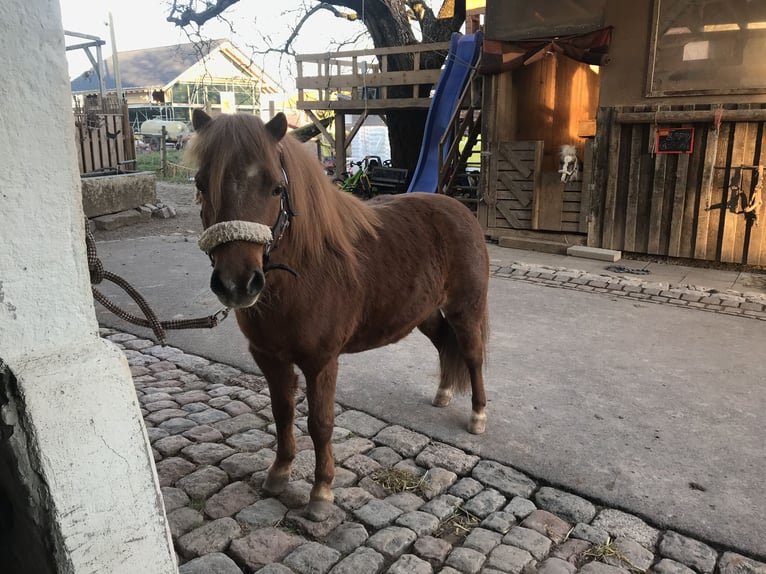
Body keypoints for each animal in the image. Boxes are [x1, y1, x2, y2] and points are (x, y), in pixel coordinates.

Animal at [190, 109, 492, 520]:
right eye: (201, 184)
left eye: (276, 188)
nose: (237, 284)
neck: (304, 273)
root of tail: (460, 209)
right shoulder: (268, 357)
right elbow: (282, 412)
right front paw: (279, 472)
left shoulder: (321, 361)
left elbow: (320, 423)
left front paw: (321, 492)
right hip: (425, 313)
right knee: (445, 343)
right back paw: (443, 393)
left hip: (466, 309)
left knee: (472, 356)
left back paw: (477, 416)